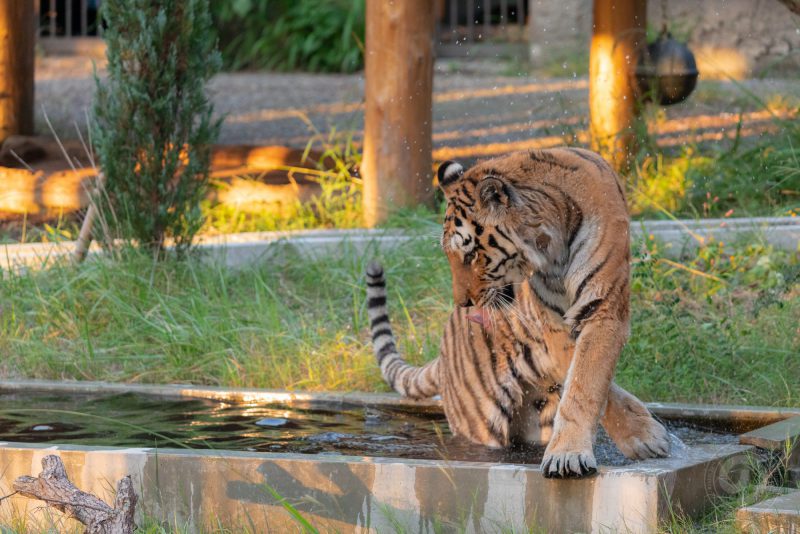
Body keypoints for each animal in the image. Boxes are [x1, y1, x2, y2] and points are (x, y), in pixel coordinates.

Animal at [366, 149, 672, 480]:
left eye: (470, 255)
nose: (463, 304)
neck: (553, 243)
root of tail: (444, 353)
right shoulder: (552, 324)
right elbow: (589, 382)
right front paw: (642, 434)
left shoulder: (602, 306)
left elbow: (586, 382)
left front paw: (572, 453)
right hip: (482, 423)